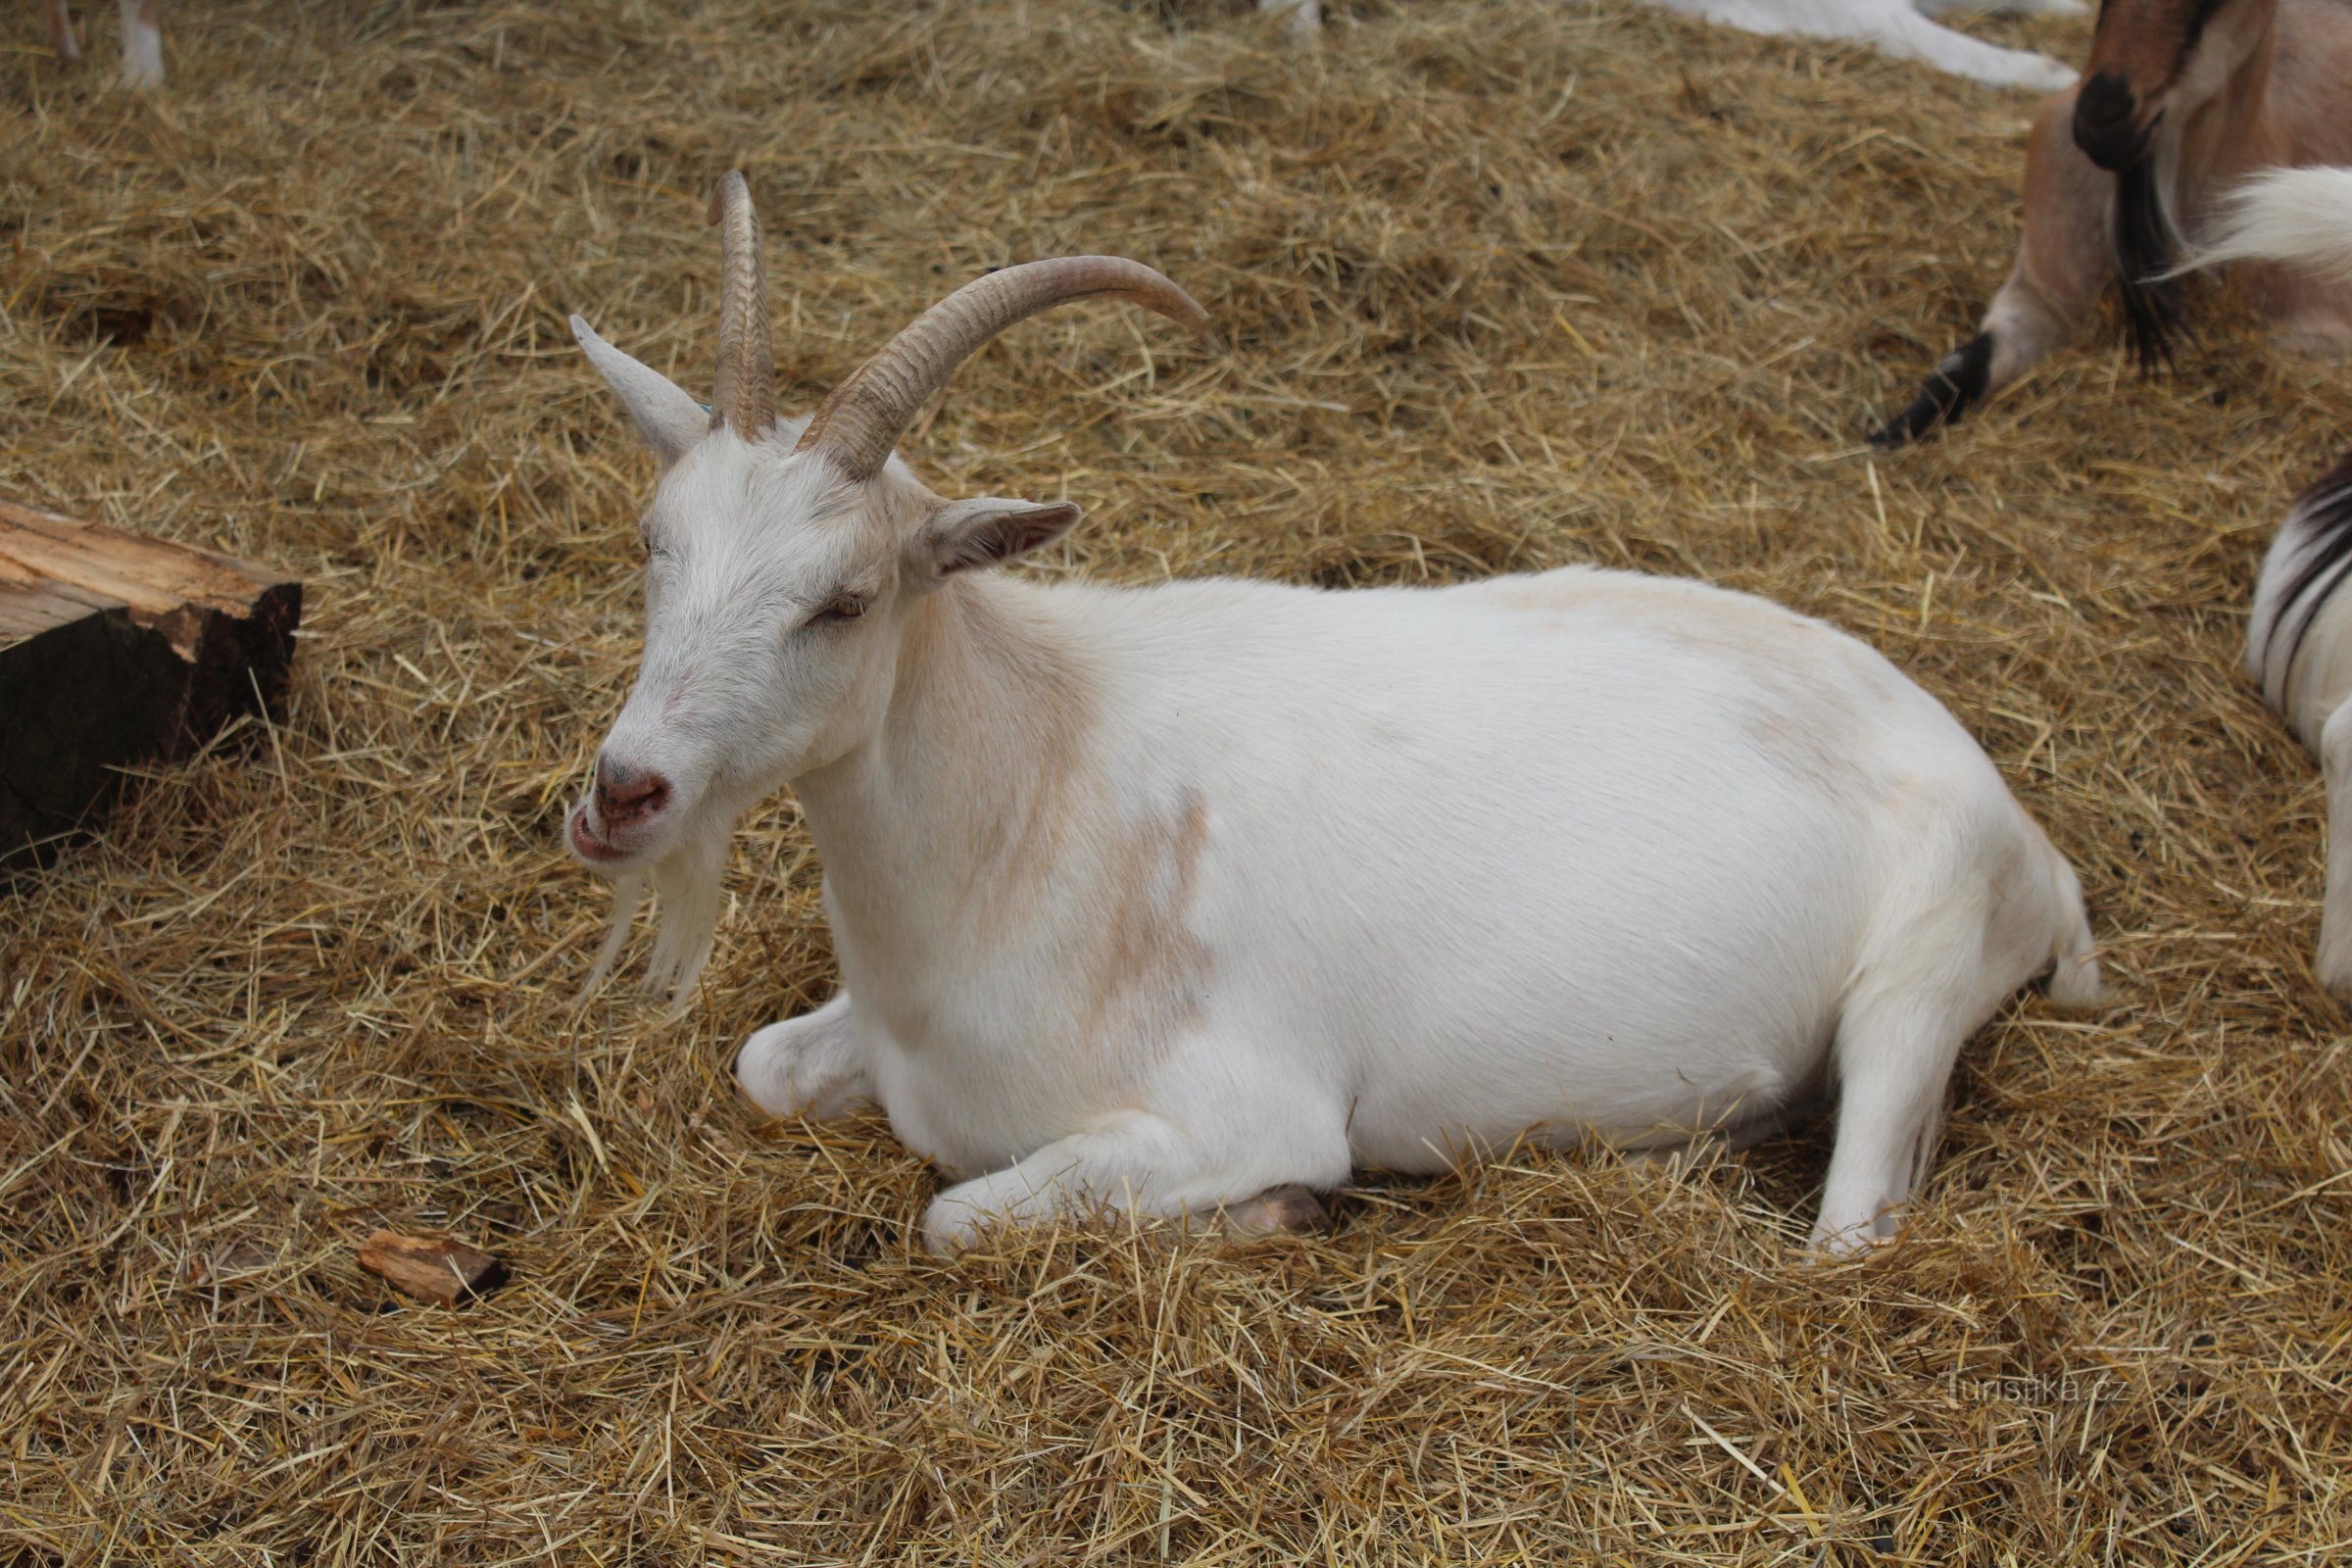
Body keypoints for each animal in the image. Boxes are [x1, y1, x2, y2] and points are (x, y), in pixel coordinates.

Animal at [564, 180, 2097, 1259]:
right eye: (652, 540)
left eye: (848, 598)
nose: (623, 792)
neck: (1038, 792)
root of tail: (2035, 847)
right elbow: (763, 1066)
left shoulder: (1243, 1106)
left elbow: (956, 1214)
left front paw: (1283, 1214)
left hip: (1916, 975)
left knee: (1853, 1234)